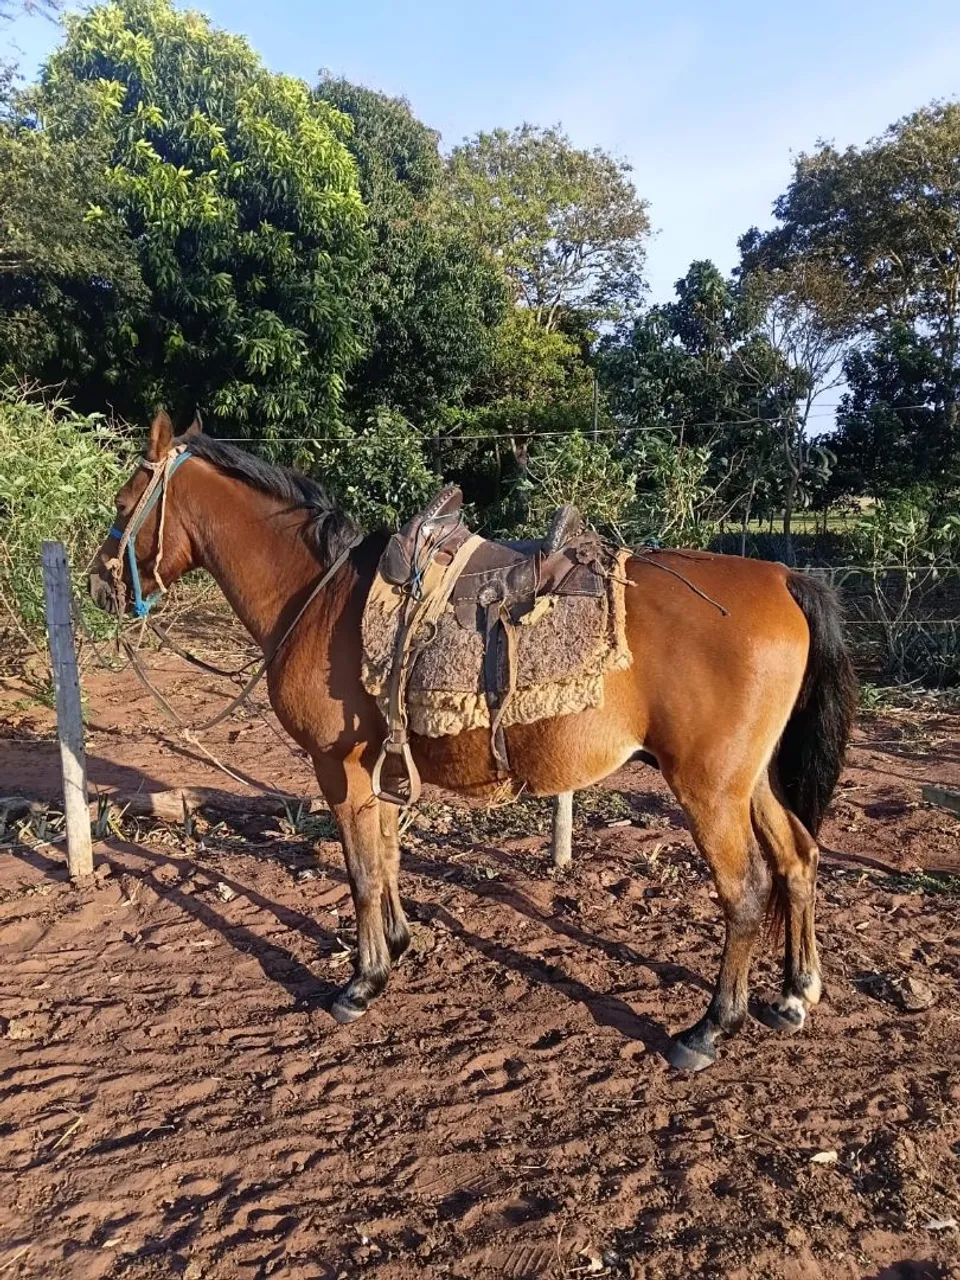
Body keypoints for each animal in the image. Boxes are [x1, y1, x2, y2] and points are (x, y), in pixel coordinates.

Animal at [89, 411, 857, 1072]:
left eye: (124, 503)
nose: (99, 585)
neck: (318, 596)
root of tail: (783, 579)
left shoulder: (339, 766)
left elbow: (361, 870)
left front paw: (362, 982)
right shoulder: (380, 766)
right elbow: (387, 857)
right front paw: (399, 945)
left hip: (709, 788)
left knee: (746, 890)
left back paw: (710, 1029)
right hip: (751, 780)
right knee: (798, 857)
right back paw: (795, 994)